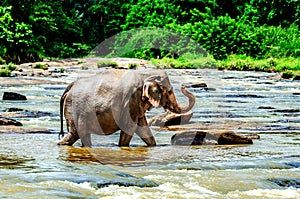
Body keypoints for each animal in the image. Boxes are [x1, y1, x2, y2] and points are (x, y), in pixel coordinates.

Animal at [57, 68, 196, 146]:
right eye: (171, 91)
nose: (183, 86)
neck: (145, 74)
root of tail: (69, 88)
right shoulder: (130, 101)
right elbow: (129, 126)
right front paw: (122, 146)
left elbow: (143, 129)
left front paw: (153, 145)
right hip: (75, 110)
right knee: (75, 135)